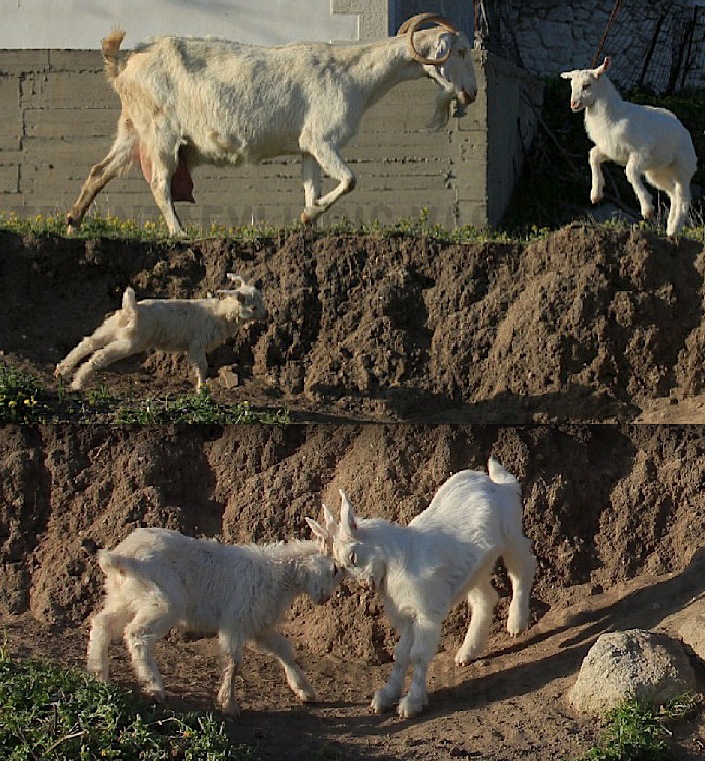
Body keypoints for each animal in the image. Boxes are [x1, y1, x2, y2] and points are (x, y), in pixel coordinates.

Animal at [66, 13, 476, 236]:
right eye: (458, 51)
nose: (471, 93)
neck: (353, 74)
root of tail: (123, 61)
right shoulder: (323, 139)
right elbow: (350, 180)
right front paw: (309, 215)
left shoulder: (309, 147)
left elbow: (312, 186)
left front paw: (309, 219)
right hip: (160, 134)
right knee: (159, 183)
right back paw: (179, 231)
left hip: (132, 129)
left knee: (99, 171)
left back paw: (73, 221)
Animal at [86, 528, 342, 712]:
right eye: (335, 569)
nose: (325, 598)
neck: (278, 573)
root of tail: (122, 557)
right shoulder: (235, 621)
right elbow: (233, 661)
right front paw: (228, 704)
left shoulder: (259, 626)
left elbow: (285, 651)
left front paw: (306, 691)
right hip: (162, 602)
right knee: (136, 634)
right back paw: (154, 687)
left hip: (123, 598)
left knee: (102, 624)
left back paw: (100, 675)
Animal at [308, 458, 532, 720]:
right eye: (341, 568)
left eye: (353, 557)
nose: (365, 584)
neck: (396, 560)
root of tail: (498, 484)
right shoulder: (407, 616)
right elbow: (400, 654)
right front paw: (385, 696)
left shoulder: (426, 615)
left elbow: (418, 655)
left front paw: (411, 703)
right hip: (474, 570)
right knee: (486, 598)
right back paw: (467, 652)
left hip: (511, 534)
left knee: (522, 569)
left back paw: (516, 623)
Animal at [560, 56, 696, 238]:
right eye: (572, 85)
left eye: (587, 85)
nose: (573, 104)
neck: (613, 116)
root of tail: (685, 132)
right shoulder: (611, 150)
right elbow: (594, 156)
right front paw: (595, 195)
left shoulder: (641, 151)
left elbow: (630, 172)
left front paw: (647, 210)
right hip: (656, 172)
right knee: (673, 193)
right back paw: (669, 229)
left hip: (681, 168)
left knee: (683, 196)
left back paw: (674, 229)